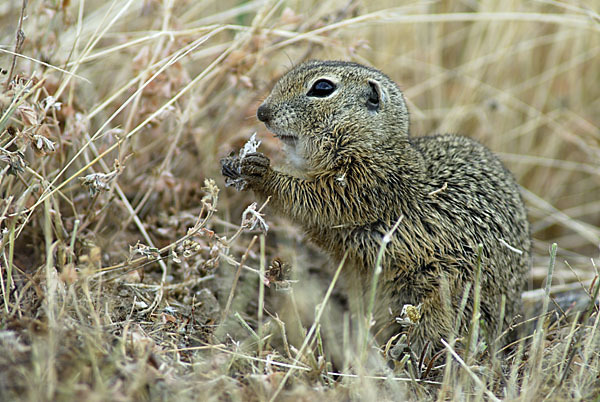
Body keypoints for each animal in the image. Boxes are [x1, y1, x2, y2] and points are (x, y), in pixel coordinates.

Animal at [220, 60, 528, 354]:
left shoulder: (360, 189)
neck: (375, 147)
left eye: (322, 88)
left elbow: (308, 198)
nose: (262, 112)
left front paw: (261, 172)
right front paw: (234, 164)